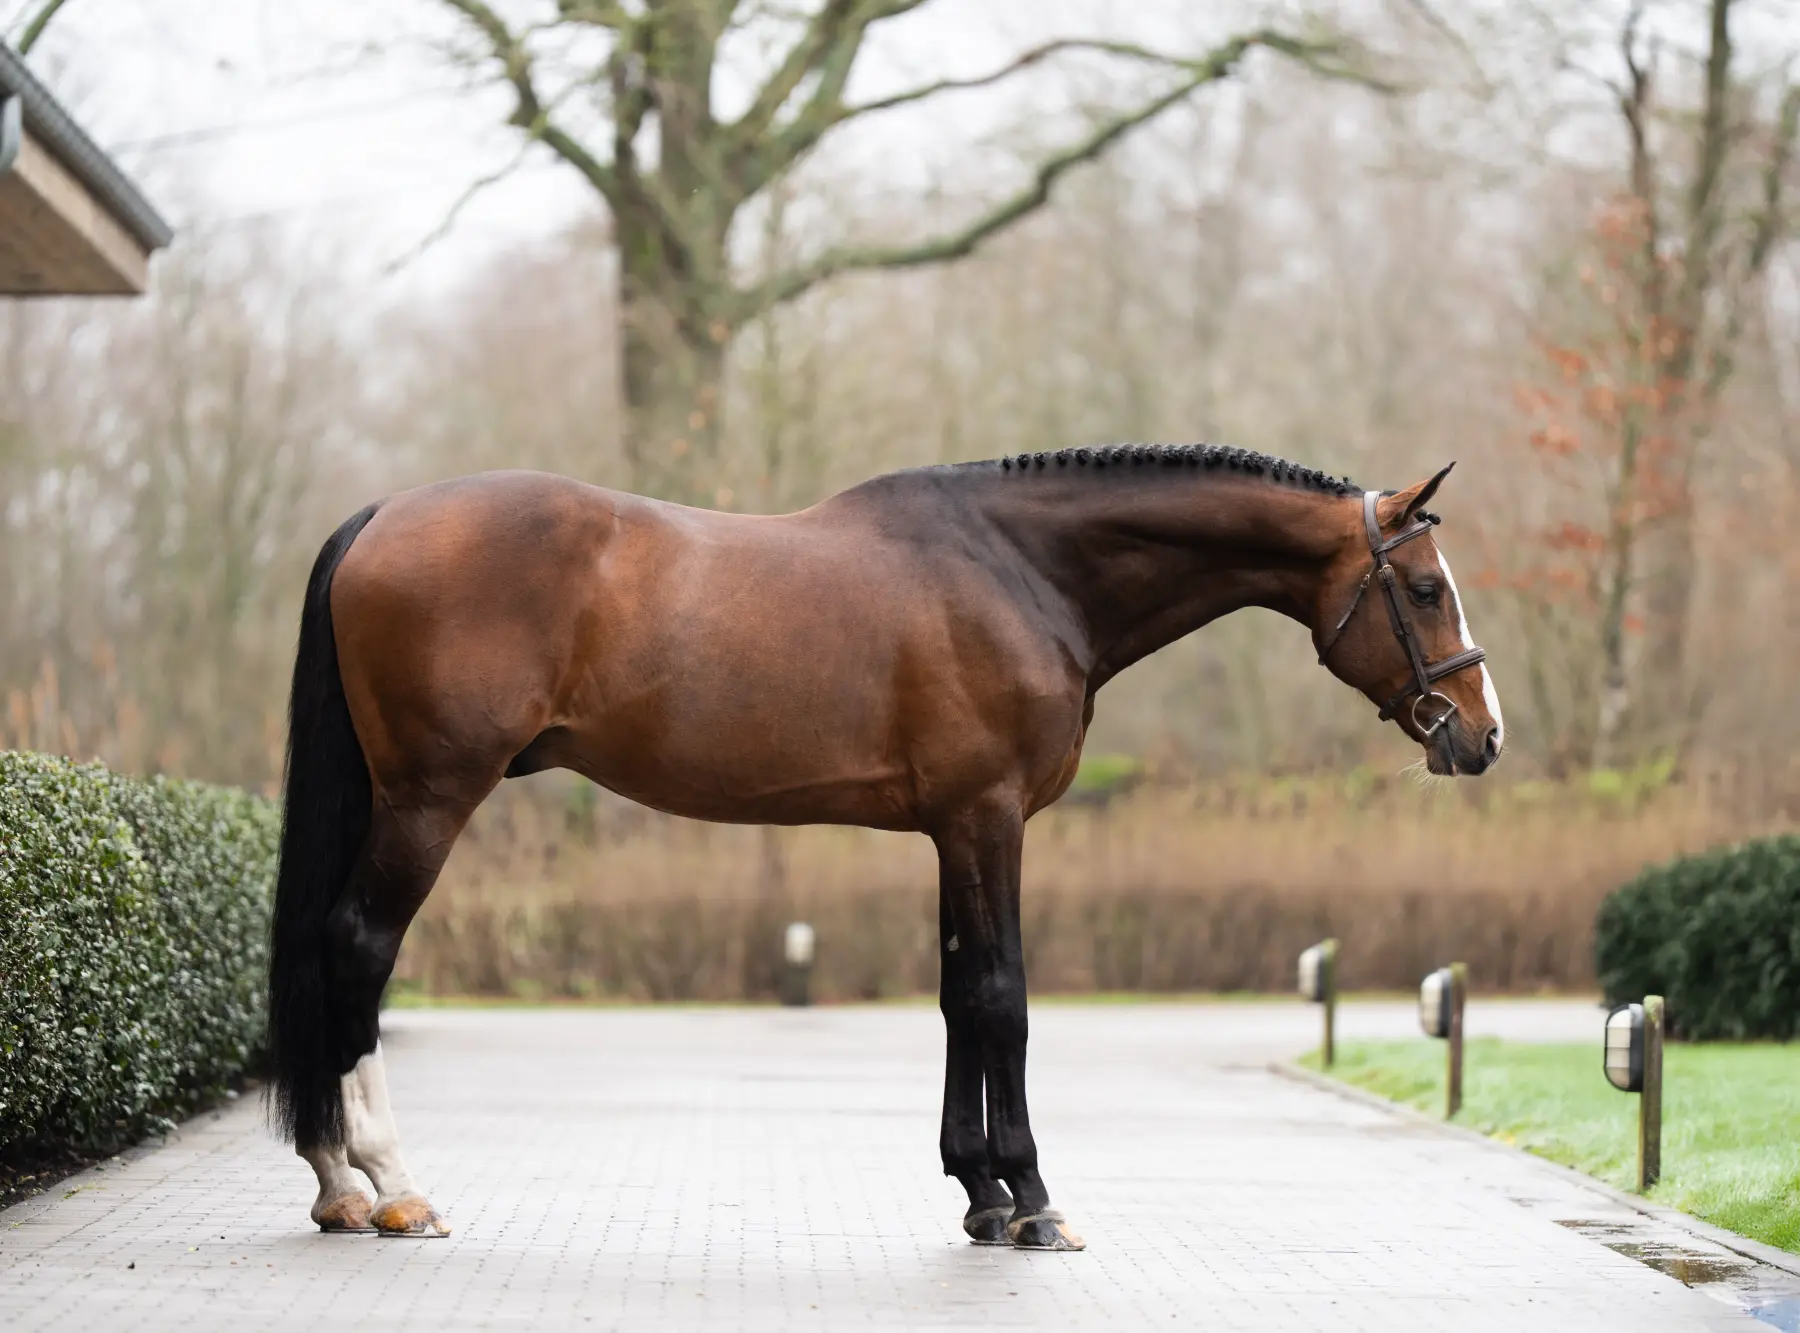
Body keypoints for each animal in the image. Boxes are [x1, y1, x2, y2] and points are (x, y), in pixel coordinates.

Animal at [267, 443, 1503, 1247]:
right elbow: (1003, 994)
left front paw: (981, 1195)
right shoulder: (989, 817)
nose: (1483, 735)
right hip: (432, 796)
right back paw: (389, 1182)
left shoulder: (952, 828)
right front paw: (1035, 1200)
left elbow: (959, 993)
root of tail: (380, 516)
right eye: (1424, 589)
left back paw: (335, 1185)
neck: (1024, 569)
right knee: (359, 946)